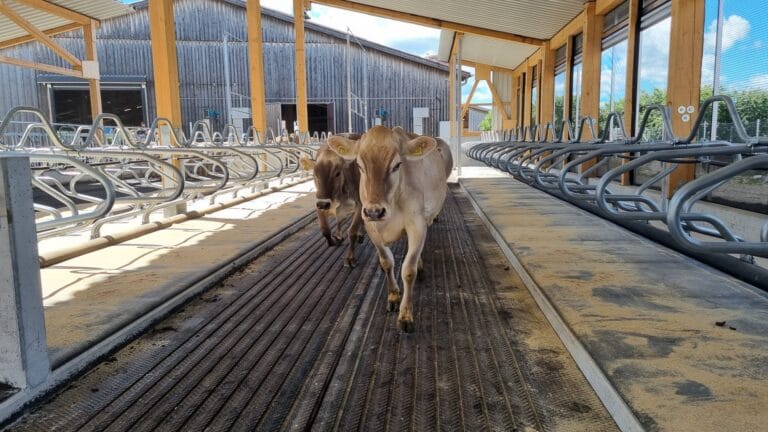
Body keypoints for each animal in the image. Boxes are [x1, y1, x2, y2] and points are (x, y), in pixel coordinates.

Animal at [300, 135, 365, 267]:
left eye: (338, 173)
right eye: (314, 174)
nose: (323, 204)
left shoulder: (359, 204)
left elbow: (352, 232)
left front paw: (350, 258)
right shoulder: (319, 203)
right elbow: (325, 230)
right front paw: (334, 241)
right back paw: (339, 235)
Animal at [327, 126, 453, 332]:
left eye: (397, 165)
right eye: (360, 166)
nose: (375, 211)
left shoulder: (417, 224)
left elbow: (408, 270)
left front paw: (405, 315)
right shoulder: (371, 226)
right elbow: (387, 262)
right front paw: (393, 296)